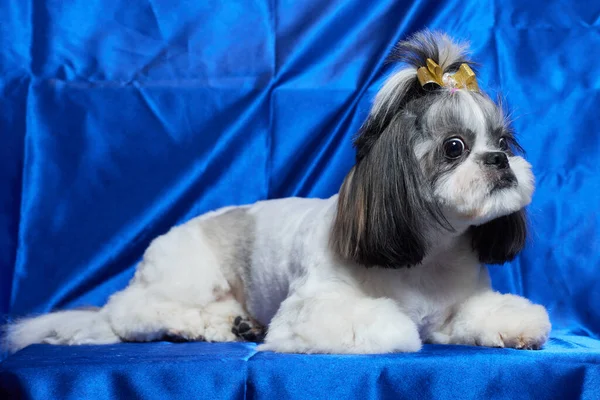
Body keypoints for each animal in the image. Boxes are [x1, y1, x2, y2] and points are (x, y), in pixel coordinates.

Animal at [2, 30, 552, 354]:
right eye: (454, 147)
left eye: (503, 141)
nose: (499, 160)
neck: (425, 256)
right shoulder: (316, 309)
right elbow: (385, 325)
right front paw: (399, 329)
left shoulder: (461, 304)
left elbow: (481, 315)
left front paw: (515, 329)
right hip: (187, 276)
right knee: (130, 312)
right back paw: (191, 325)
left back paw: (234, 326)